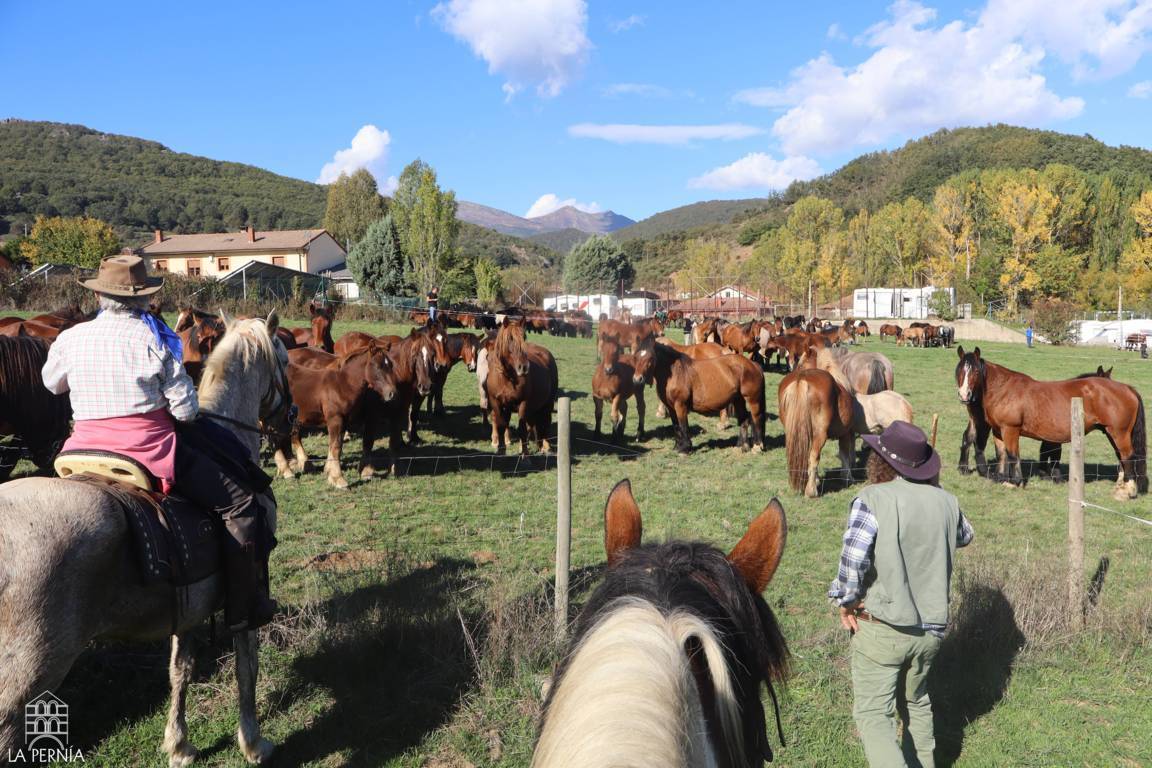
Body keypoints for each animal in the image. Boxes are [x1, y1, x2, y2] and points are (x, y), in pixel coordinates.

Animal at [486, 319, 559, 455]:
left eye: (524, 337)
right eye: (510, 339)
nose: (524, 367)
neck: (507, 378)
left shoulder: (523, 403)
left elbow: (522, 429)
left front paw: (525, 455)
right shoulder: (497, 403)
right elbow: (501, 426)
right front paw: (501, 451)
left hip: (548, 403)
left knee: (545, 421)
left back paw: (546, 446)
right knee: (534, 424)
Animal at [631, 335, 766, 454]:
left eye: (650, 357)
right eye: (635, 357)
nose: (637, 379)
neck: (675, 373)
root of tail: (753, 365)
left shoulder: (680, 405)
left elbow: (683, 425)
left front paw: (685, 448)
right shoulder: (671, 407)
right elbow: (676, 426)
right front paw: (677, 447)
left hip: (753, 400)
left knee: (756, 418)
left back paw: (757, 447)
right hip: (738, 399)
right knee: (744, 419)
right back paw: (742, 446)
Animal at [778, 367, 855, 497]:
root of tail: (802, 378)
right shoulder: (845, 433)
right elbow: (844, 454)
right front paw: (847, 478)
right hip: (820, 434)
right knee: (814, 457)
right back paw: (811, 491)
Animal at [955, 346, 1147, 499]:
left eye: (975, 372)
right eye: (959, 371)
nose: (964, 395)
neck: (1005, 390)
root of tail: (1127, 388)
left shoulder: (1011, 430)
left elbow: (1013, 454)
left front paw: (1015, 482)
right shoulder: (998, 431)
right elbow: (1002, 454)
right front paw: (1002, 479)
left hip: (1119, 433)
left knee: (1128, 456)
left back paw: (1127, 490)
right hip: (1111, 432)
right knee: (1122, 457)